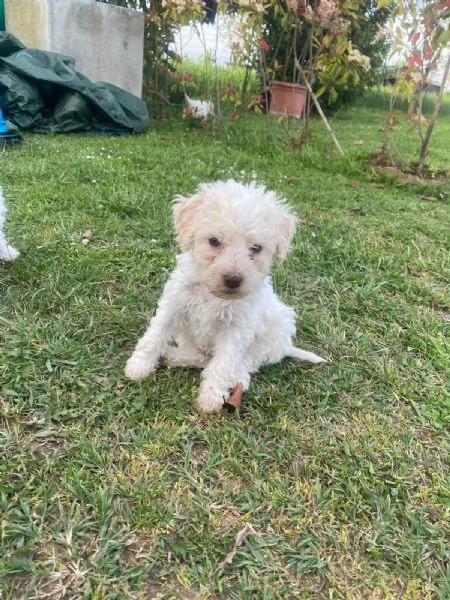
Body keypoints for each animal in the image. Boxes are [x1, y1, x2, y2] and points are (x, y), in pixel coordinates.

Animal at [125, 179, 326, 412]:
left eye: (256, 248)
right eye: (214, 241)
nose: (233, 279)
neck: (214, 294)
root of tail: (285, 347)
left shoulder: (237, 328)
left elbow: (224, 363)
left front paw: (210, 397)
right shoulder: (174, 304)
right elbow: (154, 335)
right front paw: (139, 366)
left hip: (268, 339)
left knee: (241, 366)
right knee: (201, 356)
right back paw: (171, 354)